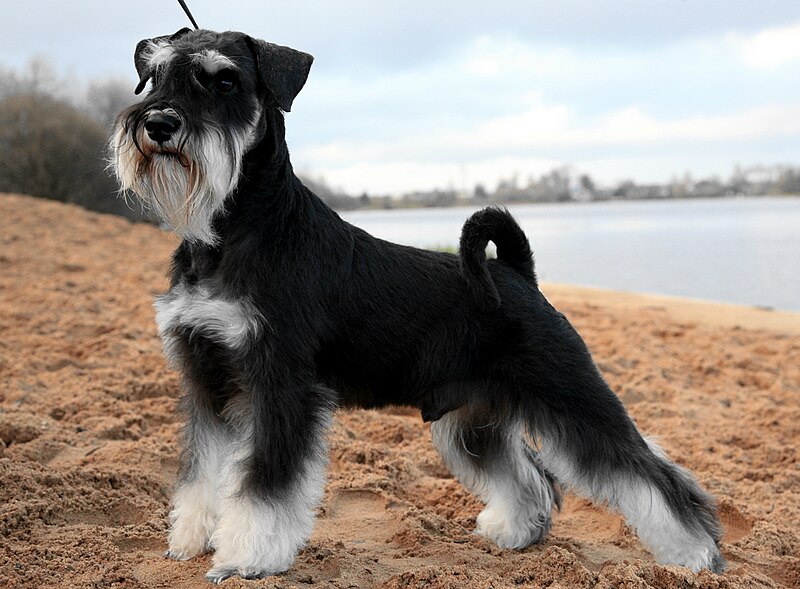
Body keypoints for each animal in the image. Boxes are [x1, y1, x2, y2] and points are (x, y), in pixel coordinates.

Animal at [109, 26, 728, 580]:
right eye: (156, 75)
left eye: (224, 80)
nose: (158, 124)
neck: (230, 234)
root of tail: (517, 275)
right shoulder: (207, 378)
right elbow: (202, 471)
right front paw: (190, 540)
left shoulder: (279, 385)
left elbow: (265, 483)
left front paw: (245, 557)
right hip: (474, 418)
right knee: (530, 479)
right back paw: (515, 533)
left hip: (572, 398)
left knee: (649, 473)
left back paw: (696, 553)